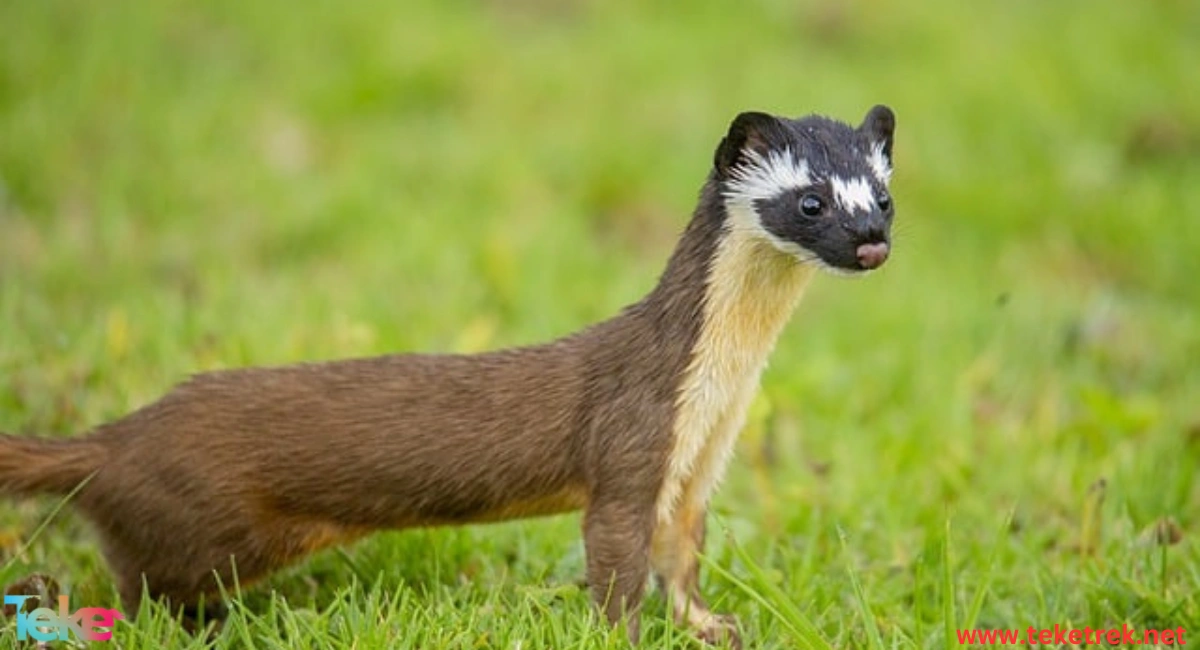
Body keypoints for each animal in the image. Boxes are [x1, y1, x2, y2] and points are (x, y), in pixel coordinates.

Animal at [0, 106, 897, 647]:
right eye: (811, 200)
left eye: (883, 196)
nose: (871, 245)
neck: (718, 388)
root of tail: (113, 438)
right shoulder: (630, 446)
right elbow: (615, 561)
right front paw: (625, 633)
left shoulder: (699, 469)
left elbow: (681, 561)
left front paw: (711, 625)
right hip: (199, 531)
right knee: (140, 584)